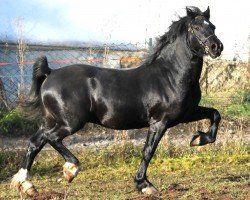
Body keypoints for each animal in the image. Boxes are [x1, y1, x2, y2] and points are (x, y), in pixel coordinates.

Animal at [11, 6, 223, 197]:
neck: (170, 75)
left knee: (36, 141)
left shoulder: (186, 114)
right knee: (51, 138)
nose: (217, 47)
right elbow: (148, 151)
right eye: (195, 27)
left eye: (212, 26)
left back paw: (26, 185)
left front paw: (198, 139)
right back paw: (70, 169)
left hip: (52, 120)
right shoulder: (159, 121)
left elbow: (215, 114)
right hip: (71, 122)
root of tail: (50, 73)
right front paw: (144, 185)